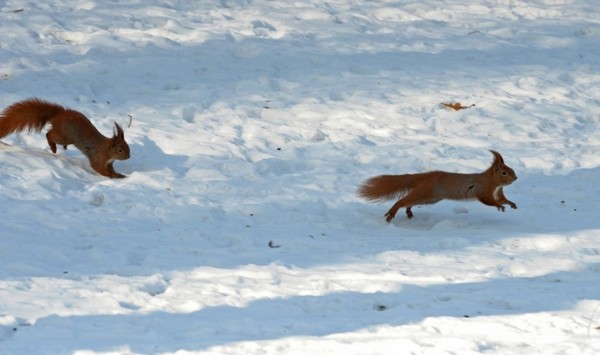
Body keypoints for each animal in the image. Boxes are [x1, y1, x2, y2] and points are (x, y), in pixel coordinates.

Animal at [0, 97, 131, 179]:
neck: (106, 149)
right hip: (65, 136)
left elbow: (111, 169)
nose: (129, 156)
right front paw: (111, 176)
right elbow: (98, 168)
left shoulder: (109, 163)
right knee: (49, 134)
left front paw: (118, 175)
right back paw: (53, 148)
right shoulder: (98, 157)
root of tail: (59, 113)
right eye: (120, 150)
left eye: (127, 147)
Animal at [358, 150, 516, 222]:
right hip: (426, 193)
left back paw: (408, 211)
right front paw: (499, 207)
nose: (515, 178)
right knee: (401, 201)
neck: (494, 182)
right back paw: (392, 213)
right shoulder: (483, 189)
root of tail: (428, 176)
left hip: (429, 198)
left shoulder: (498, 192)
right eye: (504, 172)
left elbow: (503, 199)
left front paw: (511, 204)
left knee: (409, 202)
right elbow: (488, 201)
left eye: (511, 169)